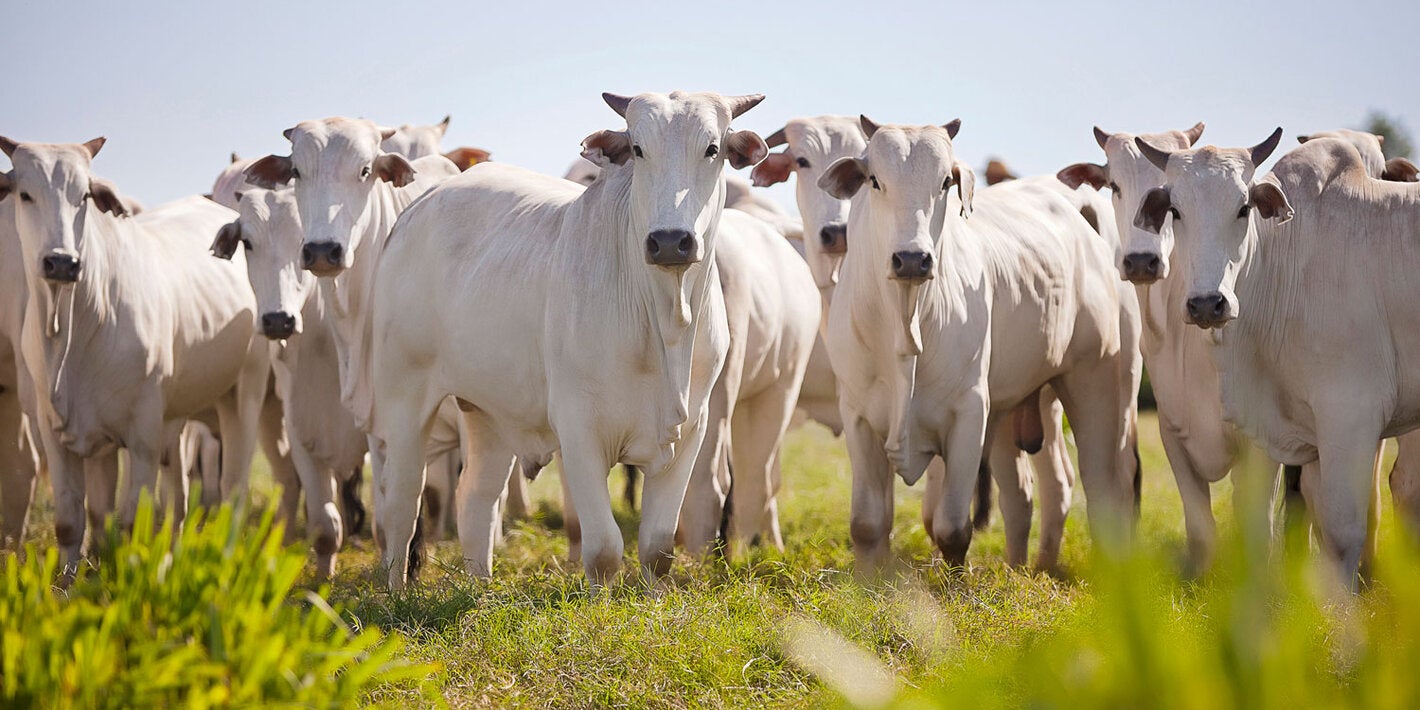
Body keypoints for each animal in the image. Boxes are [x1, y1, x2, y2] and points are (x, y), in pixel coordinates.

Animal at [0, 136, 268, 568]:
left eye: (84, 195)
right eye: (25, 194)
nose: (61, 261)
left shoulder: (141, 435)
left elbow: (130, 524)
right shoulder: (59, 432)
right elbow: (77, 522)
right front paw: (70, 580)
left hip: (244, 392)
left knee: (232, 489)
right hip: (175, 419)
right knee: (178, 498)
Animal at [366, 91, 767, 589]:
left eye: (712, 148)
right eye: (637, 149)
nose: (671, 241)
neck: (665, 323)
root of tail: (418, 208)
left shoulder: (691, 429)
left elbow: (657, 549)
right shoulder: (579, 430)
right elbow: (603, 550)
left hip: (487, 410)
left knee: (475, 497)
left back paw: (481, 589)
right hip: (404, 399)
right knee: (401, 503)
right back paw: (395, 591)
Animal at [818, 118, 1136, 571]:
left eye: (945, 182)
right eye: (875, 180)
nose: (912, 259)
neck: (905, 324)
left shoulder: (969, 412)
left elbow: (952, 528)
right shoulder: (858, 415)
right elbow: (867, 524)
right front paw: (868, 580)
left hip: (1096, 382)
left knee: (1102, 487)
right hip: (1016, 406)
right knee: (1030, 493)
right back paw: (1027, 568)